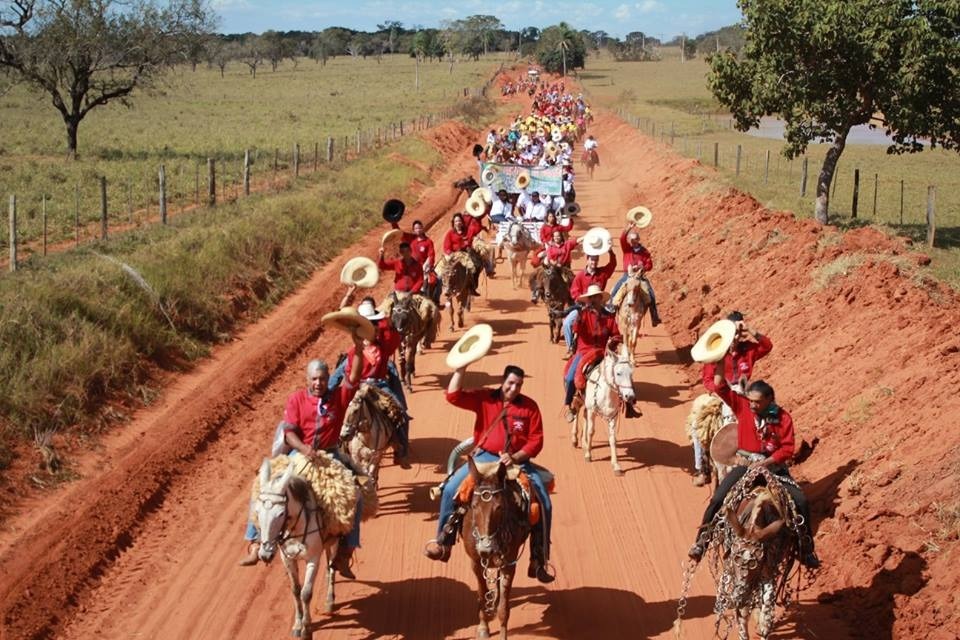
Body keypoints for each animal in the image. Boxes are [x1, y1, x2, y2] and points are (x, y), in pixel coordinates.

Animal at [251, 456, 364, 640]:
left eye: (280, 514)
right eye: (257, 511)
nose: (265, 554)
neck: (295, 528)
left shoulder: (313, 559)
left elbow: (306, 593)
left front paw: (306, 629)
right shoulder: (287, 559)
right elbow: (296, 591)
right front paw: (298, 625)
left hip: (334, 543)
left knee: (332, 568)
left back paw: (330, 600)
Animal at [462, 458, 528, 636]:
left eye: (499, 507)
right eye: (474, 506)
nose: (486, 549)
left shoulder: (509, 564)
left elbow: (504, 609)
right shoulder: (475, 564)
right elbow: (481, 594)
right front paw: (483, 628)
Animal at [568, 340, 636, 476]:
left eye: (631, 373)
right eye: (618, 373)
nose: (630, 396)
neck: (606, 392)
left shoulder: (613, 416)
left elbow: (613, 439)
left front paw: (616, 465)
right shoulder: (592, 411)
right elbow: (591, 431)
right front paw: (588, 455)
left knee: (584, 416)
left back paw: (584, 442)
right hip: (579, 398)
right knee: (577, 411)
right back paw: (575, 439)